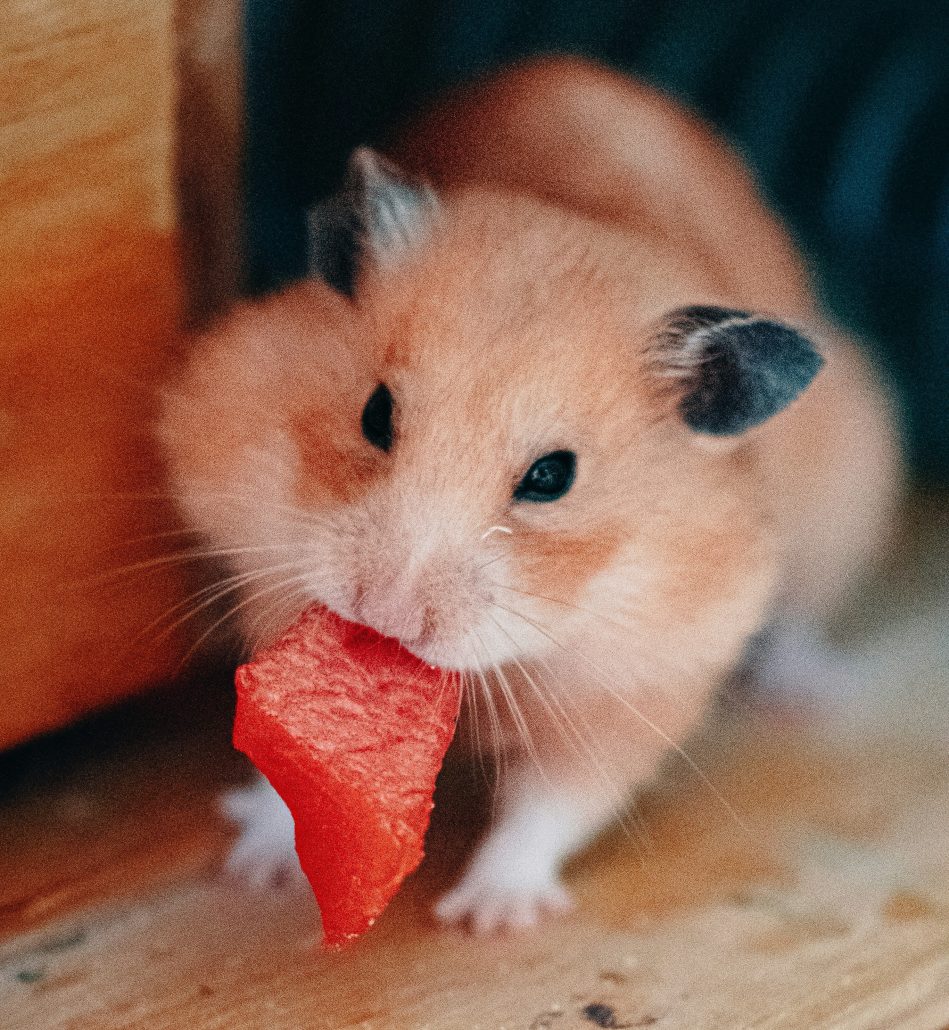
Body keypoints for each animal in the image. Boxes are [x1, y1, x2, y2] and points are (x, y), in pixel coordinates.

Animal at [158, 57, 900, 933]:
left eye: (552, 478)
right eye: (375, 415)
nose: (386, 616)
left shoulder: (636, 681)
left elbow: (551, 804)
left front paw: (485, 918)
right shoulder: (267, 571)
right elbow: (284, 764)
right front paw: (254, 868)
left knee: (801, 621)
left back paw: (807, 695)